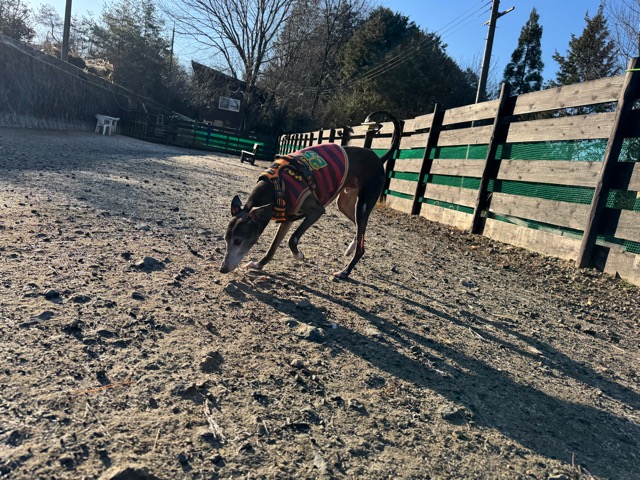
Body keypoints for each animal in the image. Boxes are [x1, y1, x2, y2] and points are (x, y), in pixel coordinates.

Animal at [220, 111, 401, 279]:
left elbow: (293, 238)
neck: (274, 187)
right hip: (345, 204)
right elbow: (273, 247)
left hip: (363, 204)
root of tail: (379, 160)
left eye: (238, 241)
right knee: (359, 231)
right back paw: (351, 247)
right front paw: (258, 264)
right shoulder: (287, 218)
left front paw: (299, 255)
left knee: (362, 246)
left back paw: (344, 272)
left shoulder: (316, 211)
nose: (222, 269)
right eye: (226, 239)